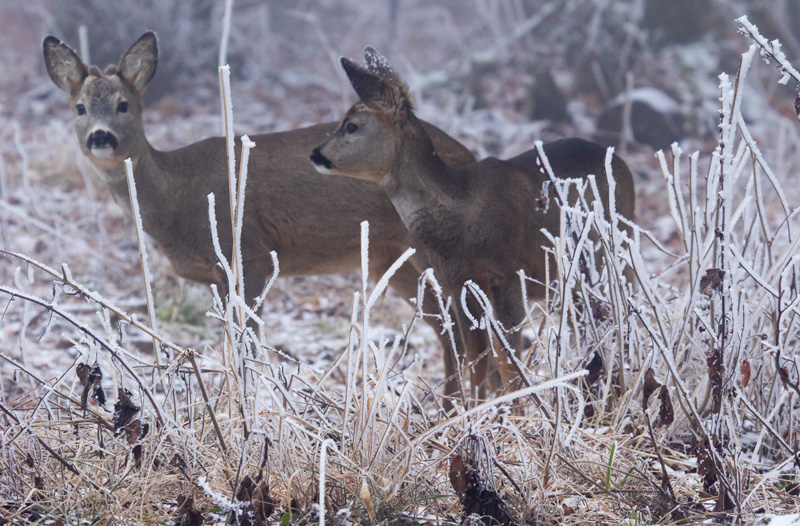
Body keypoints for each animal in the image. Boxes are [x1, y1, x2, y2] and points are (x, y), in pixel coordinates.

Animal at [310, 49, 636, 402]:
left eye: (351, 126)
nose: (315, 153)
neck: (462, 214)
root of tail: (623, 163)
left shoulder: (507, 274)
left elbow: (508, 359)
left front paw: (512, 410)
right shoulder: (457, 283)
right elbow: (477, 359)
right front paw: (481, 410)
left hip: (616, 250)